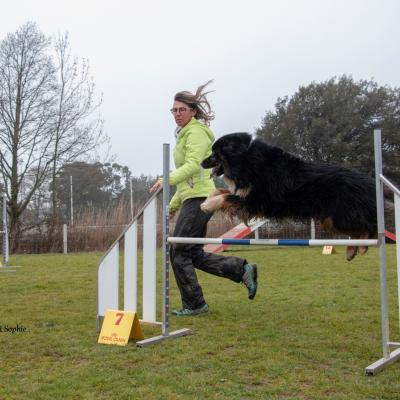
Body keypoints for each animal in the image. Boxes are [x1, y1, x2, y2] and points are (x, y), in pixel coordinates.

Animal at [202, 133, 382, 260]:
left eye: (214, 153)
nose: (201, 163)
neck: (245, 159)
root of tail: (370, 181)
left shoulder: (256, 201)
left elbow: (225, 197)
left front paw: (206, 206)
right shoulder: (246, 196)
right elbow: (220, 192)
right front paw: (208, 200)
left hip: (341, 217)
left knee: (369, 227)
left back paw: (361, 246)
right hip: (330, 220)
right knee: (358, 231)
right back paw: (352, 250)